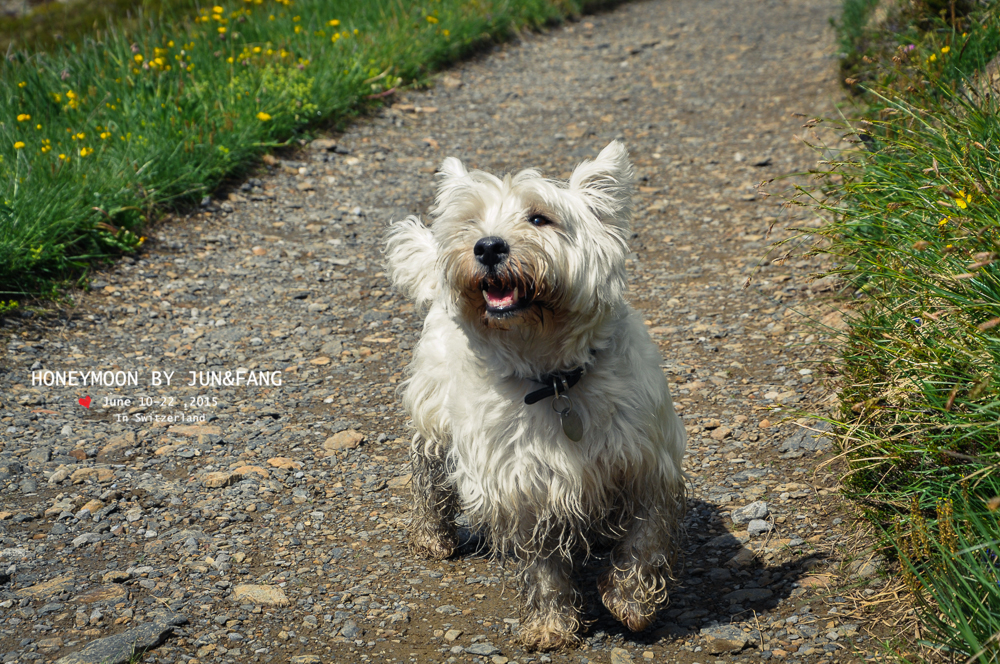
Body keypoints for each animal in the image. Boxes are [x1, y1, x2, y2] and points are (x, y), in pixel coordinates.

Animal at [384, 141, 688, 648]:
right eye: (470, 222)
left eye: (540, 218)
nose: (487, 246)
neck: (554, 380)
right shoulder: (524, 484)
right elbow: (543, 564)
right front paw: (550, 624)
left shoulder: (648, 463)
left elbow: (646, 540)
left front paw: (633, 604)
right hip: (433, 419)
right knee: (428, 479)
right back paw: (432, 536)